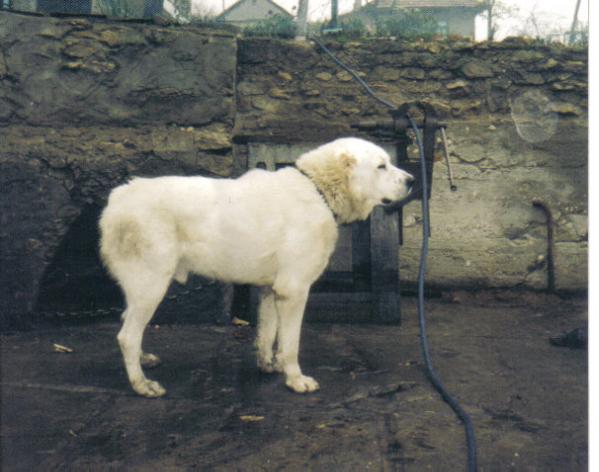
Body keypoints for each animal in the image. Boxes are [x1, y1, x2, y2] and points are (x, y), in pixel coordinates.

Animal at [101, 137, 414, 398]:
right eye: (381, 166)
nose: (412, 180)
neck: (318, 190)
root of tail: (119, 199)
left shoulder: (270, 289)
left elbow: (267, 332)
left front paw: (268, 364)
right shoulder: (293, 290)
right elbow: (290, 343)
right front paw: (295, 379)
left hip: (142, 287)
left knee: (129, 323)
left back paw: (143, 360)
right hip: (151, 284)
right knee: (127, 336)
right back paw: (141, 385)